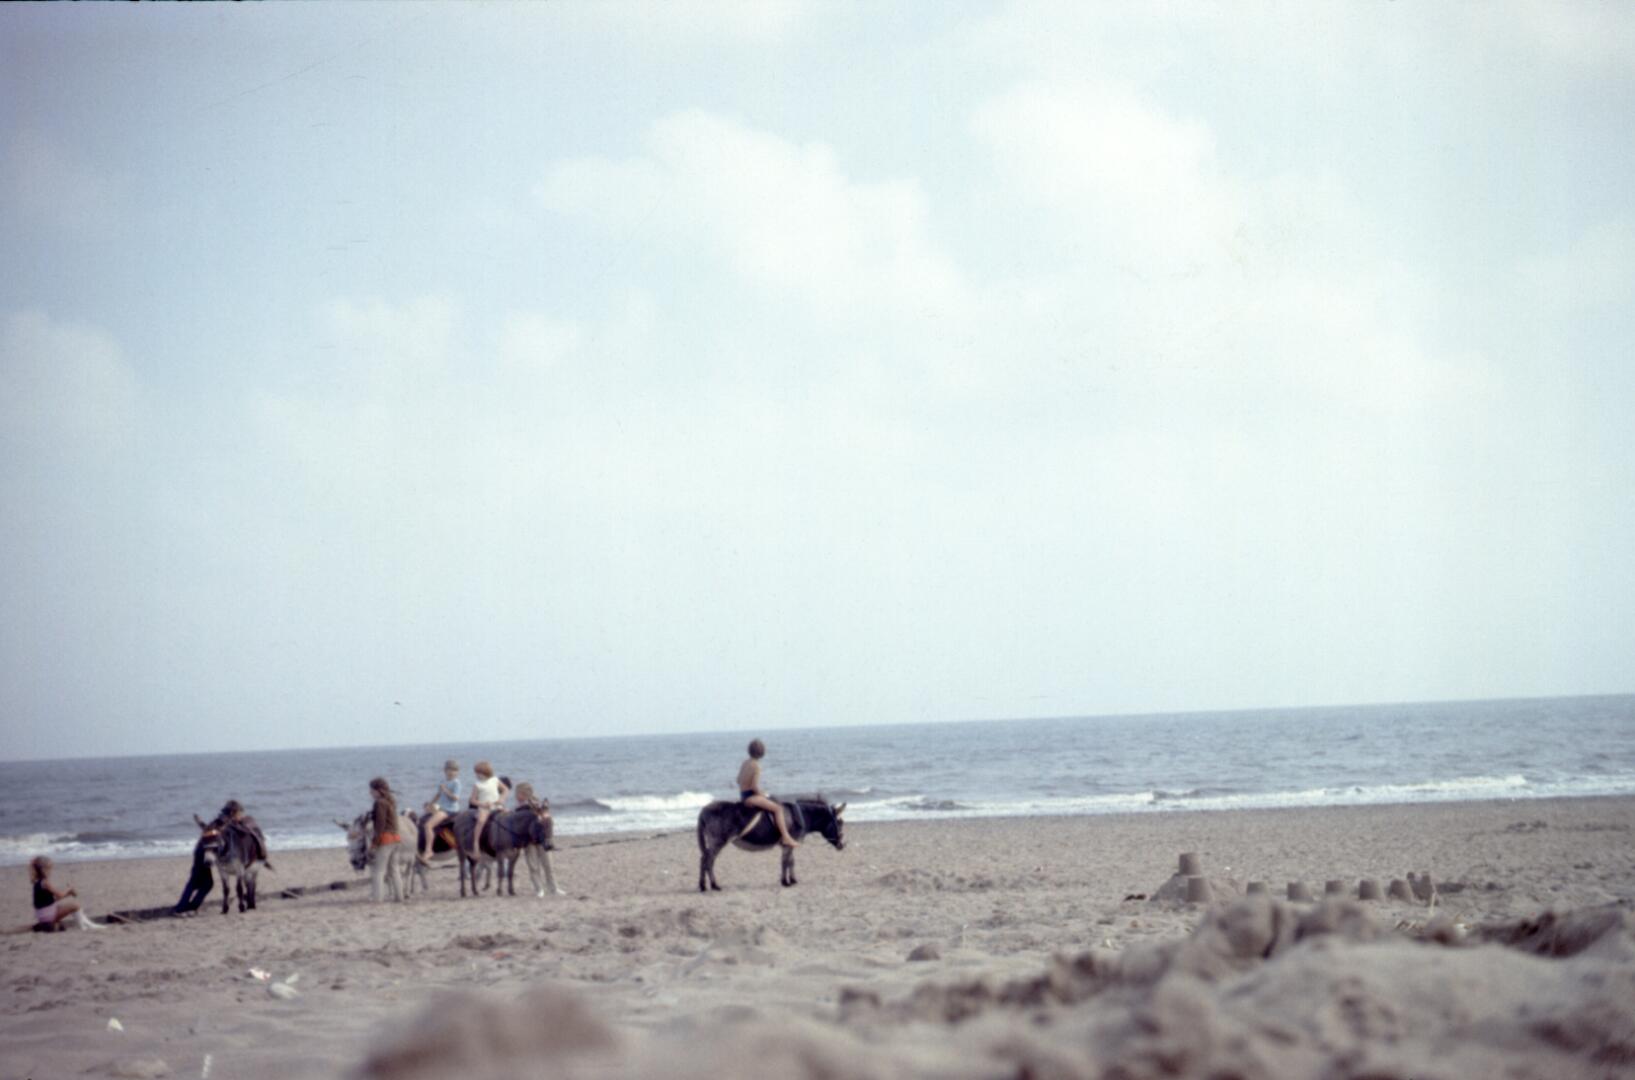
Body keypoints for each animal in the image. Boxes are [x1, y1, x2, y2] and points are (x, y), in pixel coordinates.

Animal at [696, 797, 846, 892]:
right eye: (840, 822)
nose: (842, 846)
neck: (801, 816)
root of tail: (704, 810)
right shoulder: (788, 844)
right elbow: (785, 862)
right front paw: (785, 882)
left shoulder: (790, 844)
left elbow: (791, 861)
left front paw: (793, 880)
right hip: (718, 841)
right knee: (708, 861)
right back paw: (714, 885)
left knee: (704, 859)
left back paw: (703, 886)